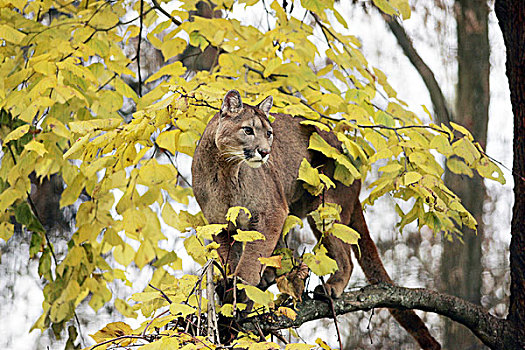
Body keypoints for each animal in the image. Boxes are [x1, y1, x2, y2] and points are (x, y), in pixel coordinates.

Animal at [192, 89, 438, 348]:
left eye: (268, 133)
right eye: (248, 130)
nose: (265, 151)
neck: (225, 170)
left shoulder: (270, 213)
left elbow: (251, 258)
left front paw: (241, 293)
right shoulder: (219, 226)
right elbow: (230, 259)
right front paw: (229, 289)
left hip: (324, 209)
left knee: (346, 258)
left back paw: (330, 287)